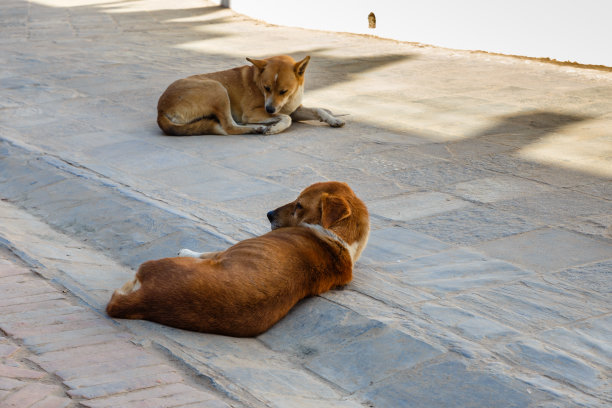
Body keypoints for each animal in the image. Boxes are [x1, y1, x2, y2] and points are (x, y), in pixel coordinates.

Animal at [105, 183, 368, 336]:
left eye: (299, 205)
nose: (268, 214)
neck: (338, 240)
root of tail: (143, 301)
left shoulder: (223, 253)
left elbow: (205, 252)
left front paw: (186, 250)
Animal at [155, 54, 344, 135]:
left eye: (283, 91)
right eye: (266, 87)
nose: (269, 110)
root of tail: (160, 110)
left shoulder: (294, 109)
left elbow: (318, 110)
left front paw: (333, 119)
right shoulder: (253, 113)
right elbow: (287, 118)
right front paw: (275, 128)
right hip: (218, 89)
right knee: (229, 127)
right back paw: (255, 128)